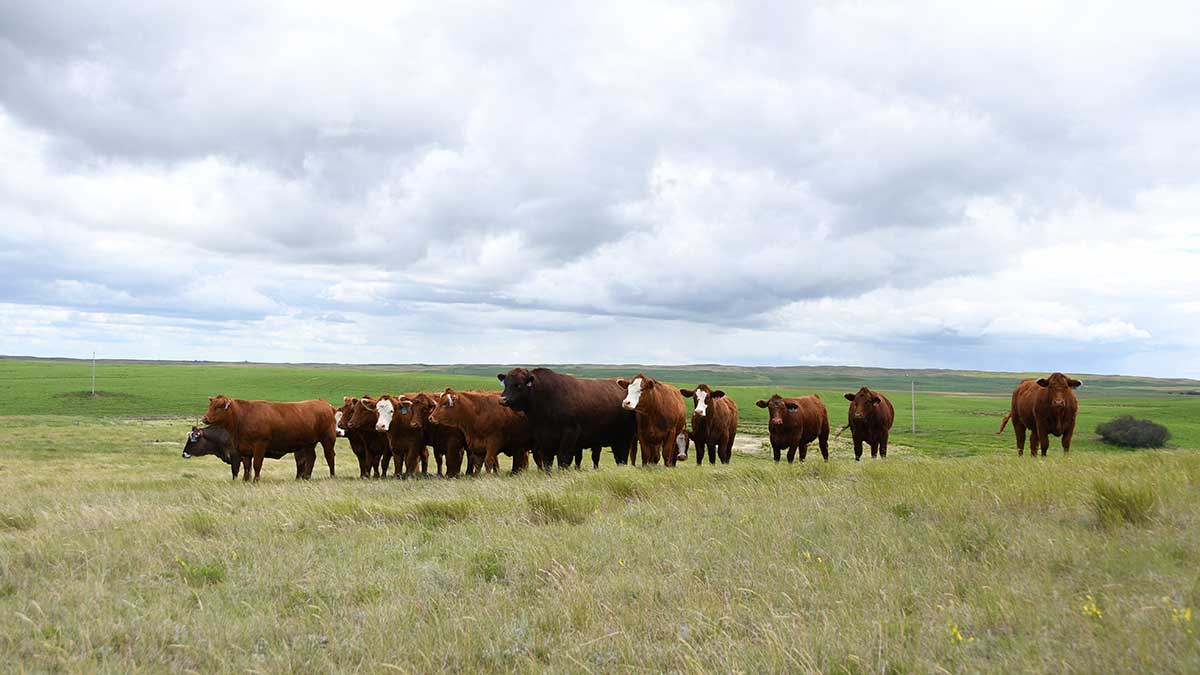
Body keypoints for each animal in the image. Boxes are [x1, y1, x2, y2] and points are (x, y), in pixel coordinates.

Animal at [182, 425, 312, 479]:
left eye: (193, 439)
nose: (184, 454)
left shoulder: (236, 457)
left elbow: (235, 472)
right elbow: (248, 470)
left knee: (301, 464)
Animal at [201, 395, 338, 481]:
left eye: (219, 406)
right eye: (210, 405)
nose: (204, 418)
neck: (243, 416)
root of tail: (324, 403)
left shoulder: (260, 445)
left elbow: (256, 464)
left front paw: (256, 480)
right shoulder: (244, 449)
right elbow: (246, 466)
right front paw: (245, 480)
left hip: (327, 439)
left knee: (329, 456)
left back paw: (332, 476)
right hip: (309, 443)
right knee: (311, 458)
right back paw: (306, 477)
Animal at [498, 367, 637, 470]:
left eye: (519, 385)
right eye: (506, 384)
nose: (503, 399)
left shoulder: (570, 434)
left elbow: (563, 458)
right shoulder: (543, 437)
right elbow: (547, 460)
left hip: (624, 439)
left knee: (622, 457)